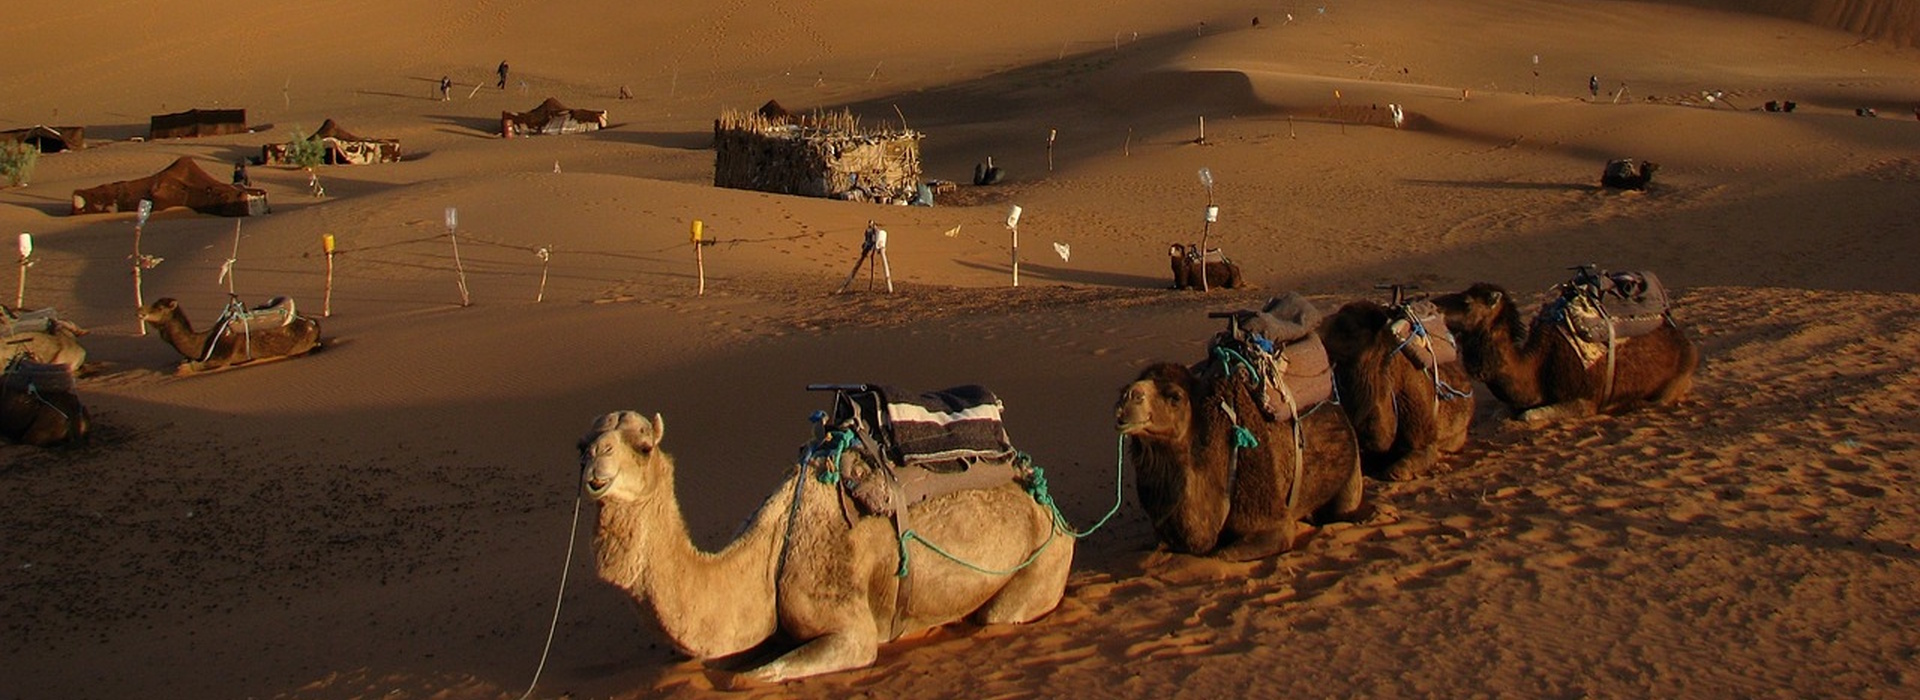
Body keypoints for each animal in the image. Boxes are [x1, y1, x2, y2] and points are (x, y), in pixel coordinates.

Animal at [138, 297, 322, 373]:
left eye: (159, 308)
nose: (140, 311)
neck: (201, 342)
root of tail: (313, 324)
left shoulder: (222, 356)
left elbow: (193, 366)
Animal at [579, 410, 1072, 685]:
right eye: (581, 445)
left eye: (643, 446)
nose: (595, 465)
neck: (771, 554)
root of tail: (1051, 506)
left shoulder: (847, 628)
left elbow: (749, 678)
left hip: (1046, 560)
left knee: (997, 615)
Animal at [1430, 282, 1697, 423]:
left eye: (1467, 303)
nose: (1433, 303)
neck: (1536, 367)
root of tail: (1684, 340)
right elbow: (1502, 413)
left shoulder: (1584, 401)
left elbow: (1528, 416)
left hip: (1677, 379)